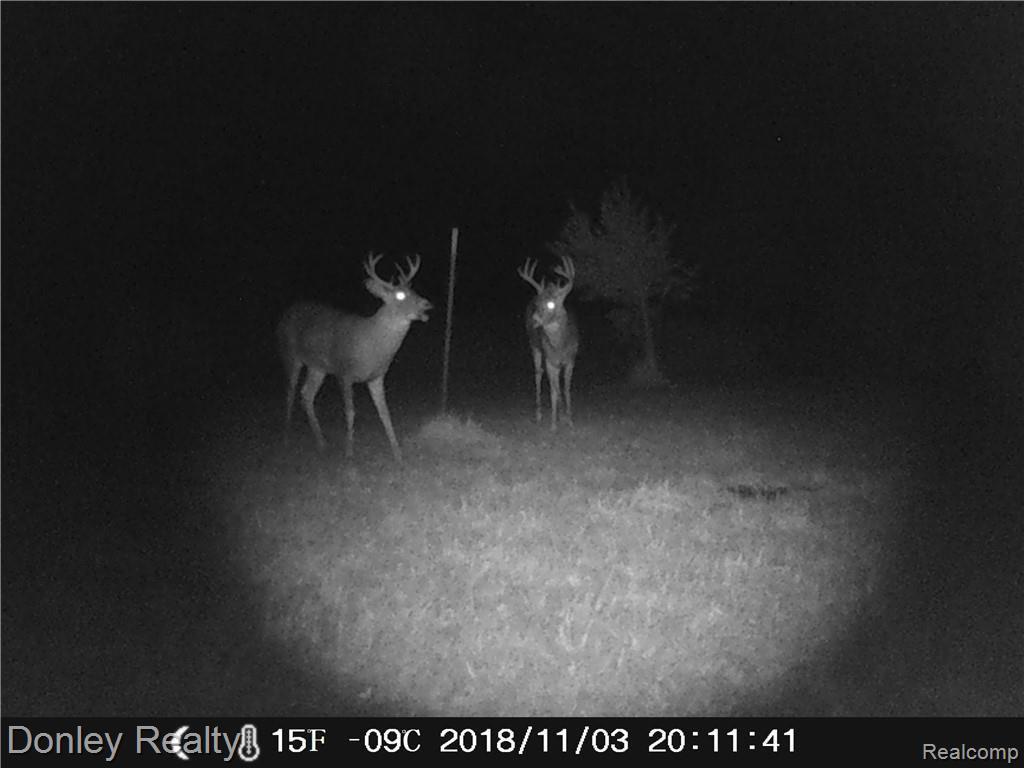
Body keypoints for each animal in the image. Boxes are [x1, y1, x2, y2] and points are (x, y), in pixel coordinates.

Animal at [277, 252, 431, 463]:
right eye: (400, 295)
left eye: (414, 290)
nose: (427, 303)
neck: (372, 346)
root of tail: (285, 314)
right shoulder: (344, 372)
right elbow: (350, 412)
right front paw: (349, 452)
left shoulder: (376, 377)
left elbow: (385, 412)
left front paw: (397, 453)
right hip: (290, 354)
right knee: (290, 393)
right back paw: (286, 438)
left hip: (318, 367)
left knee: (306, 394)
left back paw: (322, 443)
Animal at [517, 255, 579, 431]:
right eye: (537, 304)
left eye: (551, 304)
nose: (534, 319)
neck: (560, 346)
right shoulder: (550, 360)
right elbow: (554, 390)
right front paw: (554, 424)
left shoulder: (571, 359)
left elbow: (566, 389)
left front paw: (569, 419)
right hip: (535, 347)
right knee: (538, 374)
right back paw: (539, 414)